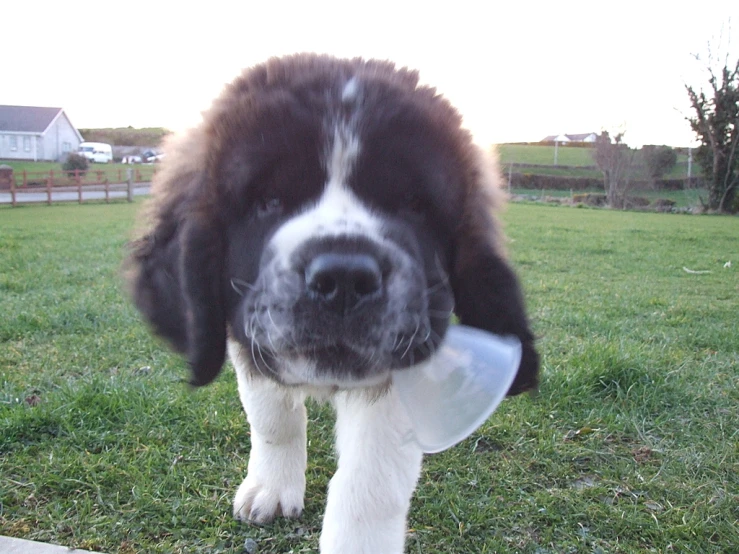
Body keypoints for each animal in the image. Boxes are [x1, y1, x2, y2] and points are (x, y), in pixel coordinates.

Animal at [127, 52, 540, 552]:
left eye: (413, 205)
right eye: (269, 200)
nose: (344, 279)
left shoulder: (400, 359)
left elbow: (370, 481)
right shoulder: (249, 337)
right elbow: (272, 418)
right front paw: (271, 486)